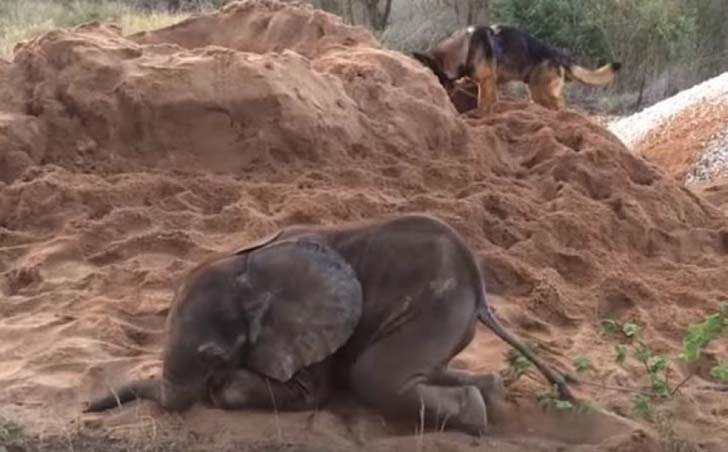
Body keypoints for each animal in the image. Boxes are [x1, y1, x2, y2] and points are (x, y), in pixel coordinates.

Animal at [83, 213, 575, 436]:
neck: (250, 266)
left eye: (213, 356)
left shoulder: (317, 331)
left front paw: (220, 387)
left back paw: (476, 416)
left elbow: (307, 393)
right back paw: (493, 397)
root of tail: (478, 285)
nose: (87, 408)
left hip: (437, 305)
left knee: (374, 376)